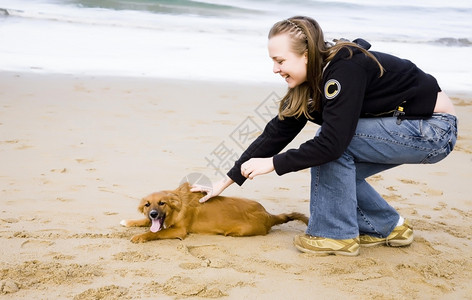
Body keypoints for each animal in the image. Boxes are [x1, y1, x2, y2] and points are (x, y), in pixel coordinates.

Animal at [120, 182, 308, 243]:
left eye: (162, 203)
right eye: (147, 205)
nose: (153, 214)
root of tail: (268, 215)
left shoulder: (179, 231)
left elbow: (156, 233)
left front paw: (140, 236)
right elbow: (146, 223)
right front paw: (129, 222)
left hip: (239, 232)